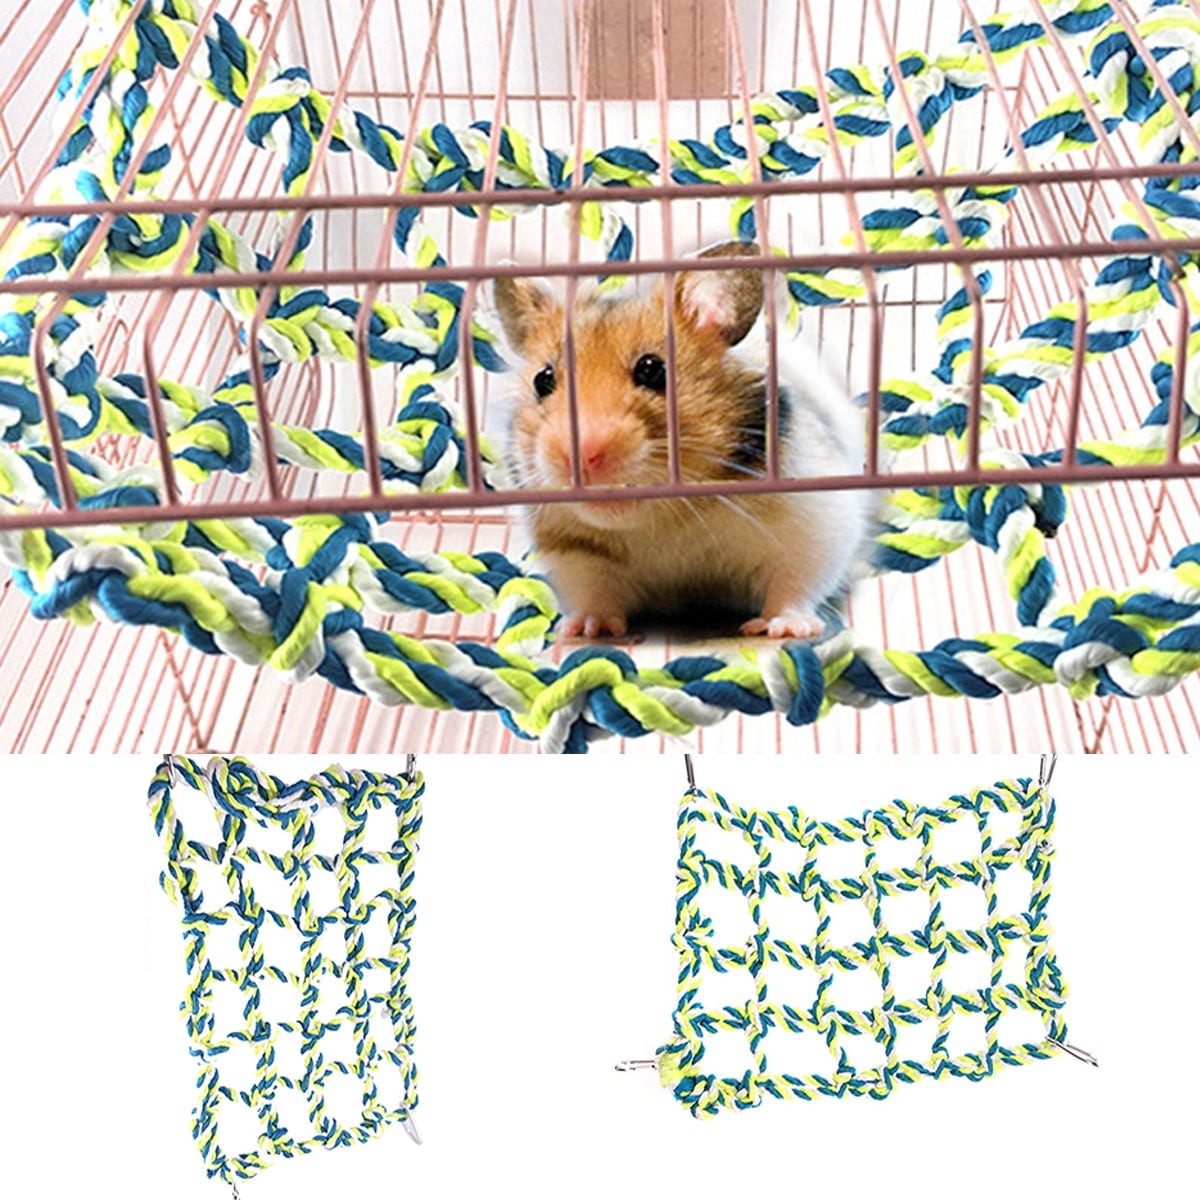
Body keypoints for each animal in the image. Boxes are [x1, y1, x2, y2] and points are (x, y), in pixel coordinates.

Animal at [492, 240, 869, 640]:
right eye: (543, 380)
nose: (577, 457)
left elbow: (794, 582)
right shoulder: (573, 551)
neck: (668, 518)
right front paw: (583, 630)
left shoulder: (814, 522)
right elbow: (594, 591)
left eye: (652, 369)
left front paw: (783, 629)